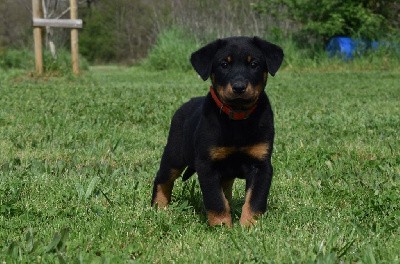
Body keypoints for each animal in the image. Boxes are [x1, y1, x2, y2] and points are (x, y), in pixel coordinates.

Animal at [151, 36, 284, 227]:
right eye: (224, 64)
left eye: (254, 64)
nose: (239, 87)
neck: (237, 119)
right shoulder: (207, 164)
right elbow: (216, 200)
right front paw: (222, 226)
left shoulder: (261, 164)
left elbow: (254, 199)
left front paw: (249, 225)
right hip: (174, 155)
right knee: (162, 179)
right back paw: (159, 207)